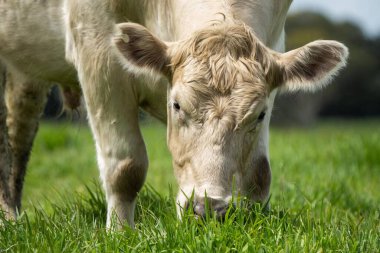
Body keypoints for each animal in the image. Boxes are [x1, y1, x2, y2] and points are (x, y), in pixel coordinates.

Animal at [0, 0, 348, 228]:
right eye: (177, 105)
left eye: (260, 115)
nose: (208, 208)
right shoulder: (98, 50)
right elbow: (126, 167)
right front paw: (121, 234)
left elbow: (259, 173)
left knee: (19, 128)